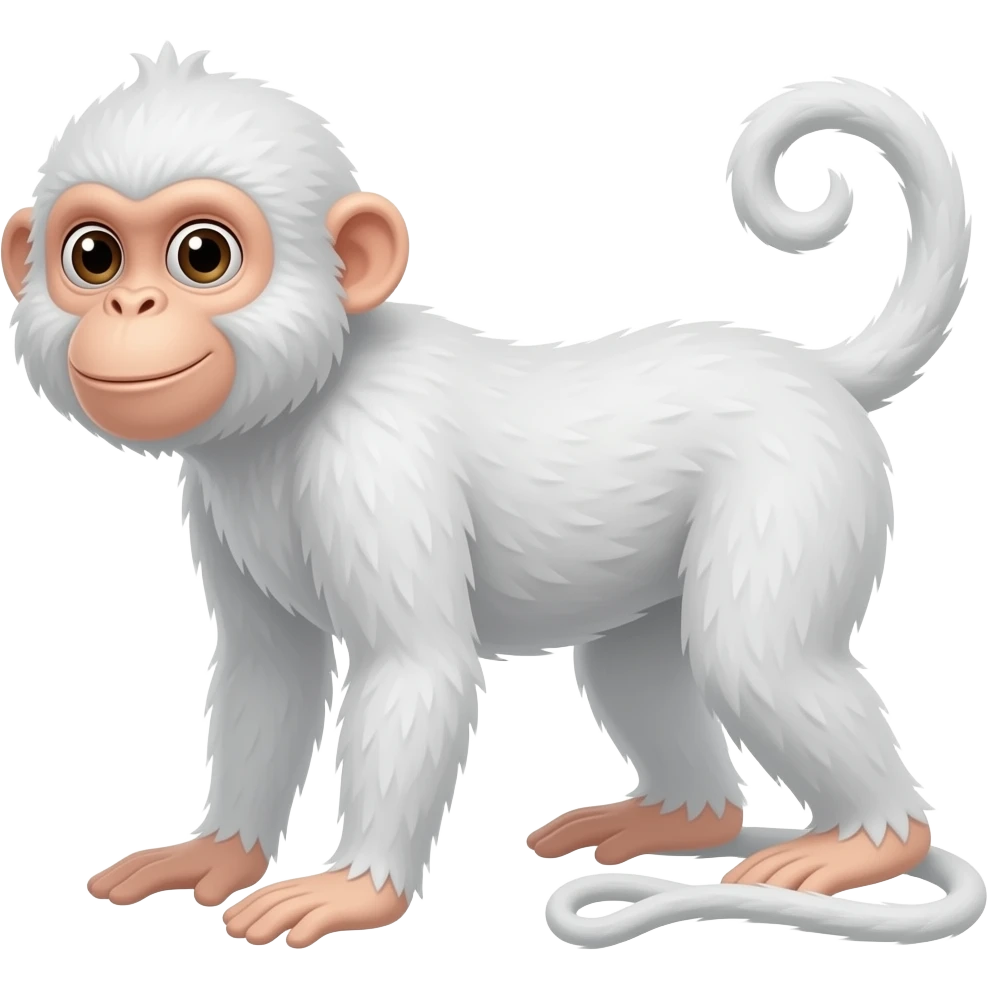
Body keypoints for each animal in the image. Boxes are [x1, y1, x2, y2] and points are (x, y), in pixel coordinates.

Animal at [4, 48, 984, 949]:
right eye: (93, 256)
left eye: (201, 255)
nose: (130, 306)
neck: (301, 402)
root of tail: (813, 371)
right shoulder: (213, 494)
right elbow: (267, 669)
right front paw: (220, 853)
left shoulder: (374, 466)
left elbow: (417, 667)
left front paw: (357, 891)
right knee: (632, 666)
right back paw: (685, 817)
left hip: (800, 478)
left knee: (756, 655)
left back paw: (873, 843)